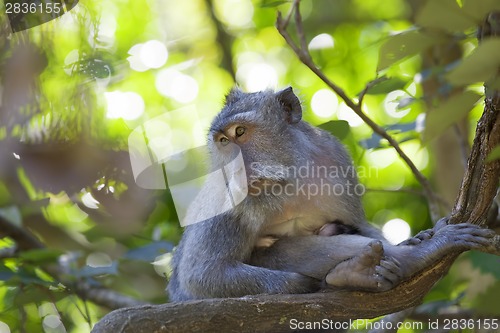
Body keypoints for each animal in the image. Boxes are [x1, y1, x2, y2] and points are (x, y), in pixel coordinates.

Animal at [167, 87, 492, 300]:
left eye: (240, 133)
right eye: (223, 142)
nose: (234, 169)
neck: (288, 179)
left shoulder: (335, 158)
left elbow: (358, 224)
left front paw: (412, 240)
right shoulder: (225, 199)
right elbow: (203, 277)